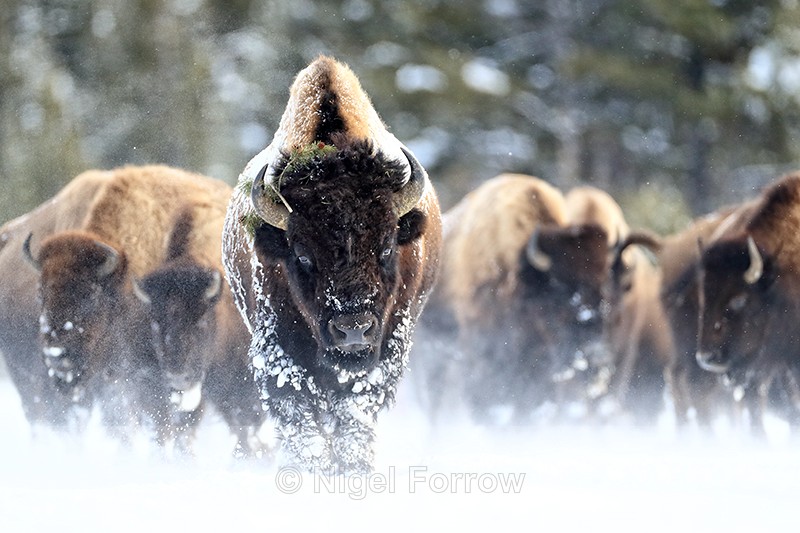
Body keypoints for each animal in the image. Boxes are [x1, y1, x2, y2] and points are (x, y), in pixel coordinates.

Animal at [222, 56, 442, 473]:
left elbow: (354, 412)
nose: (353, 330)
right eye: (302, 254)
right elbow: (297, 414)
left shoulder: (384, 352)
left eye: (386, 248)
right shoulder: (279, 353)